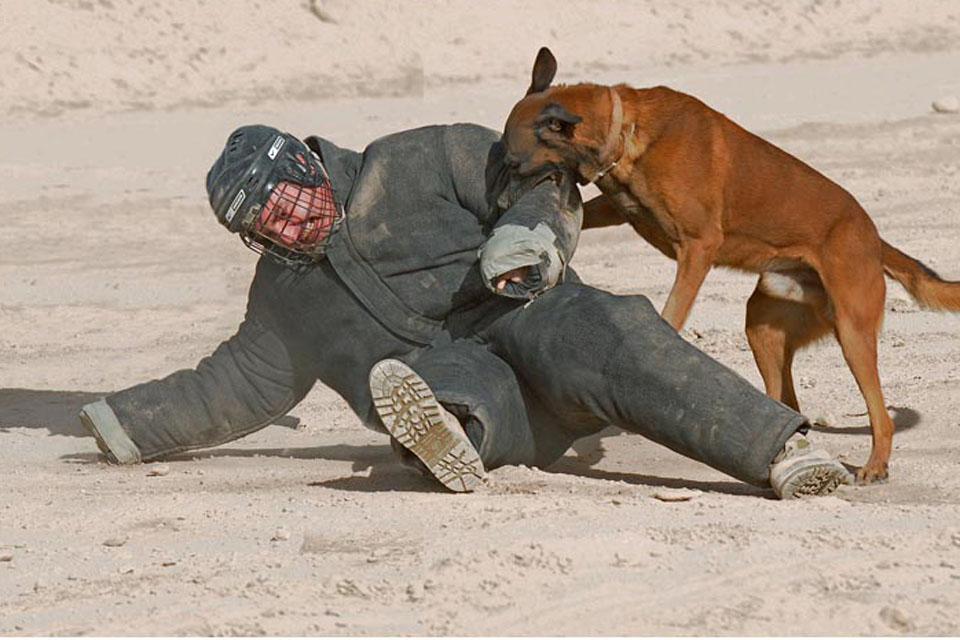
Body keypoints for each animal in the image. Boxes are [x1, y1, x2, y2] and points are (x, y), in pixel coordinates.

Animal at [502, 47, 960, 482]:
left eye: (511, 162)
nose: (500, 198)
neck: (626, 131)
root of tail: (874, 239)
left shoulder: (698, 247)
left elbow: (671, 314)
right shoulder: (619, 210)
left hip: (853, 334)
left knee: (879, 415)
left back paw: (875, 464)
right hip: (763, 328)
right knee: (785, 400)